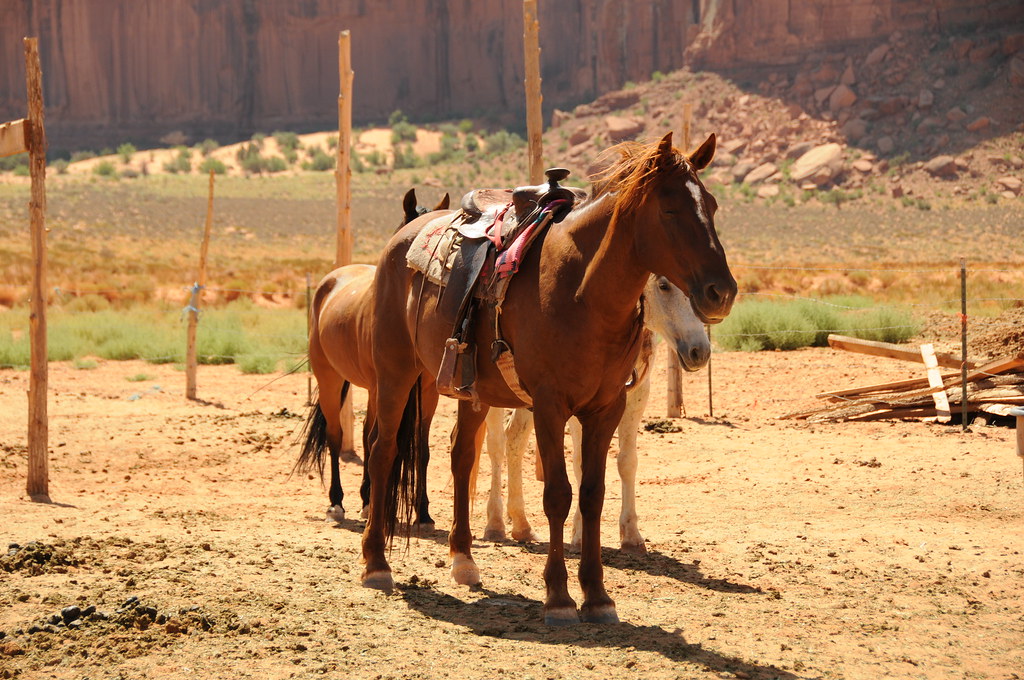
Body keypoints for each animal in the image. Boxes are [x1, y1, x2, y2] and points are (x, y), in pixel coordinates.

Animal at [296, 189, 449, 525]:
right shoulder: (386, 385)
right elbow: (376, 440)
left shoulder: (427, 392)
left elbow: (421, 448)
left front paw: (423, 511)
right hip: (330, 380)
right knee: (336, 436)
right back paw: (337, 503)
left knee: (365, 434)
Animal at [480, 275, 710, 553]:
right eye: (664, 285)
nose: (700, 351)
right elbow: (581, 463)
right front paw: (579, 537)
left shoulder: (637, 395)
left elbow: (627, 461)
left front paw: (631, 535)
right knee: (496, 445)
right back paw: (495, 524)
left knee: (515, 438)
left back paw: (522, 525)